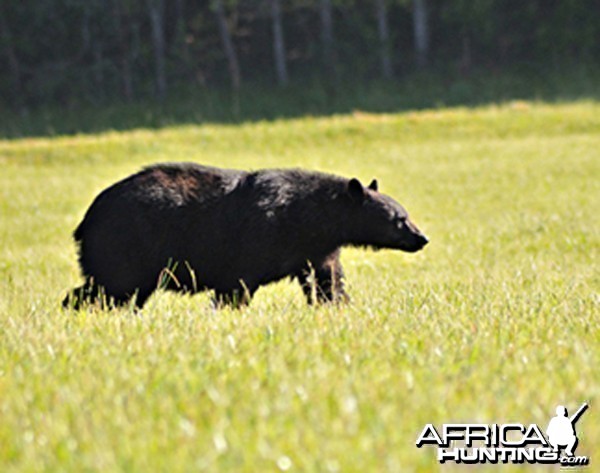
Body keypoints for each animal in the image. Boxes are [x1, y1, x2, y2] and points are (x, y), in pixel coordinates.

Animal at [63, 162, 426, 308]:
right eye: (399, 219)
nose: (422, 238)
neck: (309, 217)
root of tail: (87, 218)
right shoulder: (259, 238)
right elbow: (237, 283)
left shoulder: (317, 248)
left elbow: (327, 278)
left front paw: (335, 303)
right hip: (126, 242)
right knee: (113, 286)